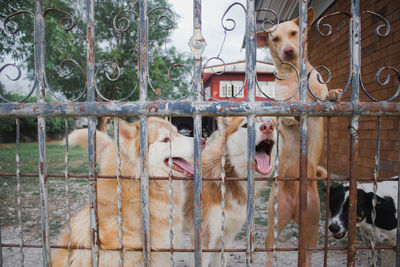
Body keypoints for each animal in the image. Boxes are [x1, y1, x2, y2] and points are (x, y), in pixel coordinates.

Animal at [258, 7, 342, 266]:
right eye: (275, 39)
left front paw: (333, 94)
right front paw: (292, 116)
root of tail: (296, 208)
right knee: (269, 250)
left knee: (307, 253)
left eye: (294, 33)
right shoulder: (280, 106)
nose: (288, 50)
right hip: (274, 223)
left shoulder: (318, 96)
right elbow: (286, 112)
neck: (295, 76)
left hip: (313, 228)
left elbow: (323, 95)